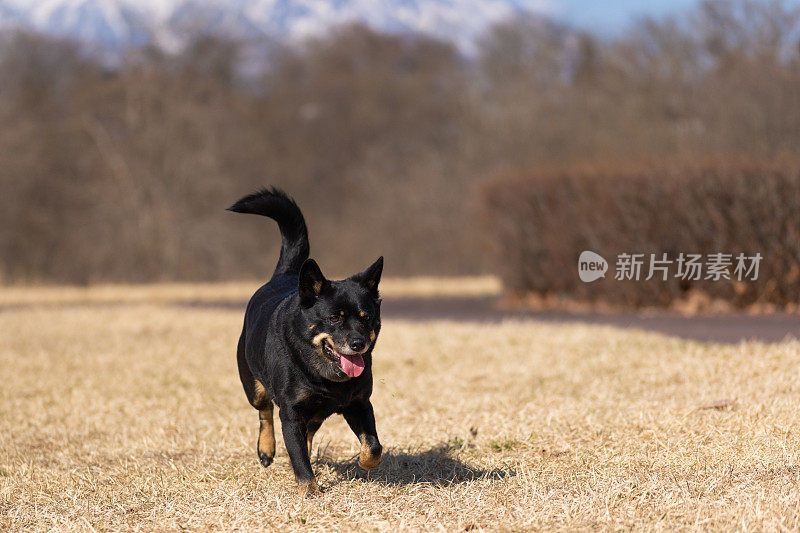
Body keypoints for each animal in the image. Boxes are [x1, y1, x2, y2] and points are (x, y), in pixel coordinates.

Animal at [228, 189, 384, 496]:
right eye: (335, 318)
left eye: (367, 317)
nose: (358, 343)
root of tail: (286, 274)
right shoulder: (291, 413)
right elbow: (298, 456)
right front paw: (309, 491)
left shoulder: (360, 403)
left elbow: (373, 446)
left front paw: (364, 462)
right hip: (253, 384)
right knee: (264, 412)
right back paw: (266, 450)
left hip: (315, 412)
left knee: (308, 433)